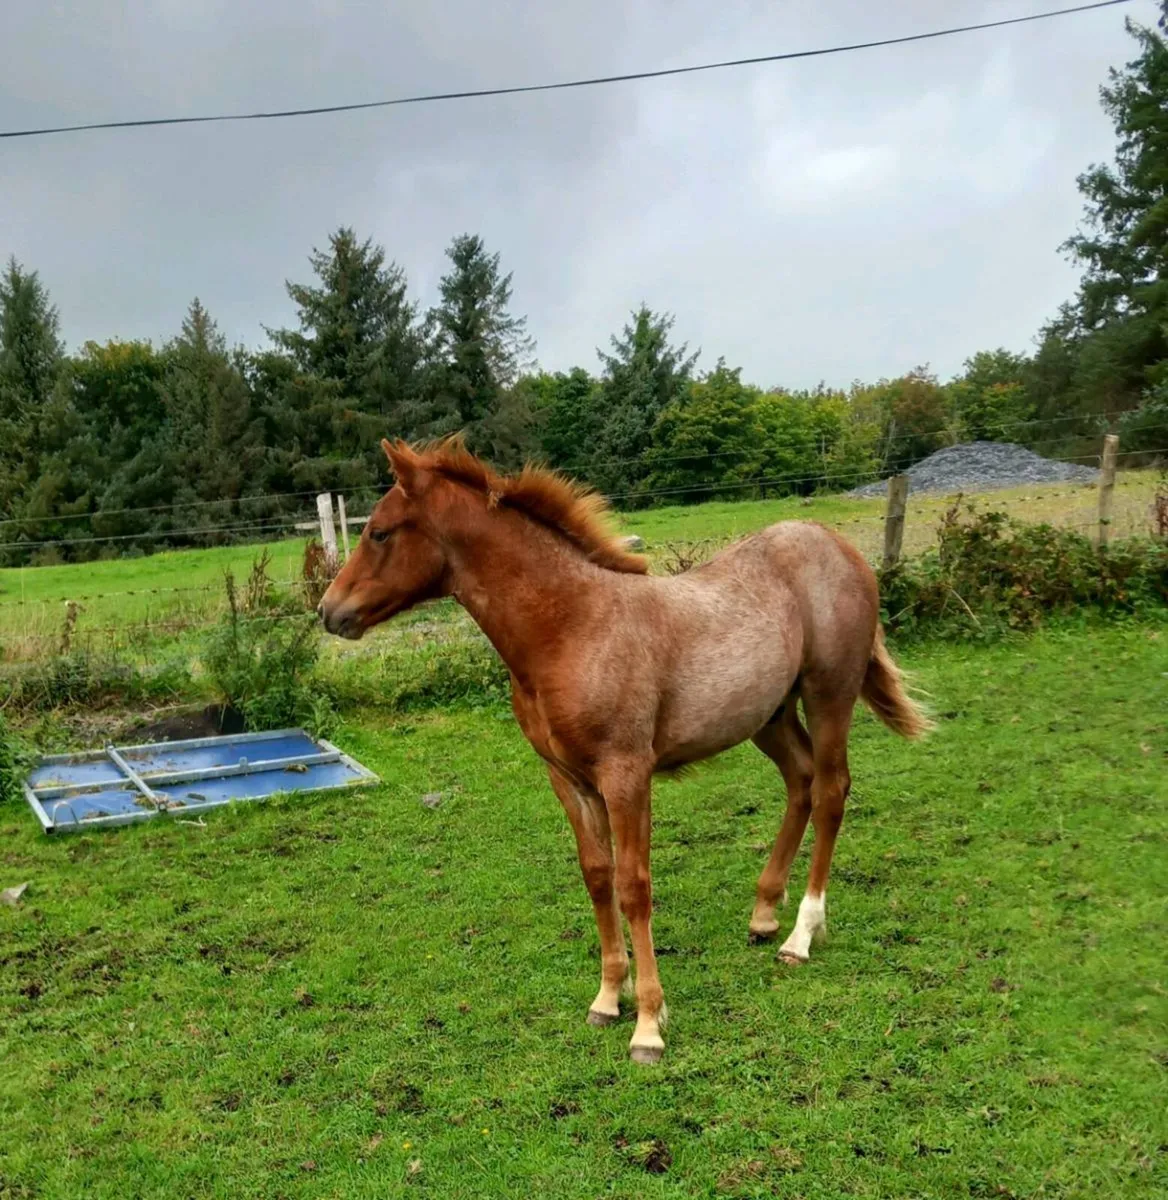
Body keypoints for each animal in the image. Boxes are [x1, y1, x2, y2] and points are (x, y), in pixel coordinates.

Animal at [318, 437, 931, 1064]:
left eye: (380, 533)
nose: (328, 611)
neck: (570, 627)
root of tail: (838, 546)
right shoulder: (568, 778)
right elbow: (597, 877)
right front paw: (609, 998)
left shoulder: (626, 774)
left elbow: (635, 886)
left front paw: (649, 1025)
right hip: (769, 715)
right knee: (801, 782)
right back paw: (764, 913)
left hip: (829, 693)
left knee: (831, 791)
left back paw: (801, 935)